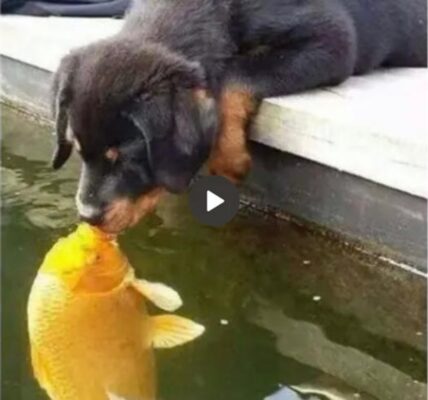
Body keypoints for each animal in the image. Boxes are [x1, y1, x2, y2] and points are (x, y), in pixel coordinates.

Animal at [51, 0, 426, 231]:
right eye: (78, 150)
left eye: (126, 158)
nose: (87, 216)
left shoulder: (332, 39)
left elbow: (234, 76)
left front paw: (229, 159)